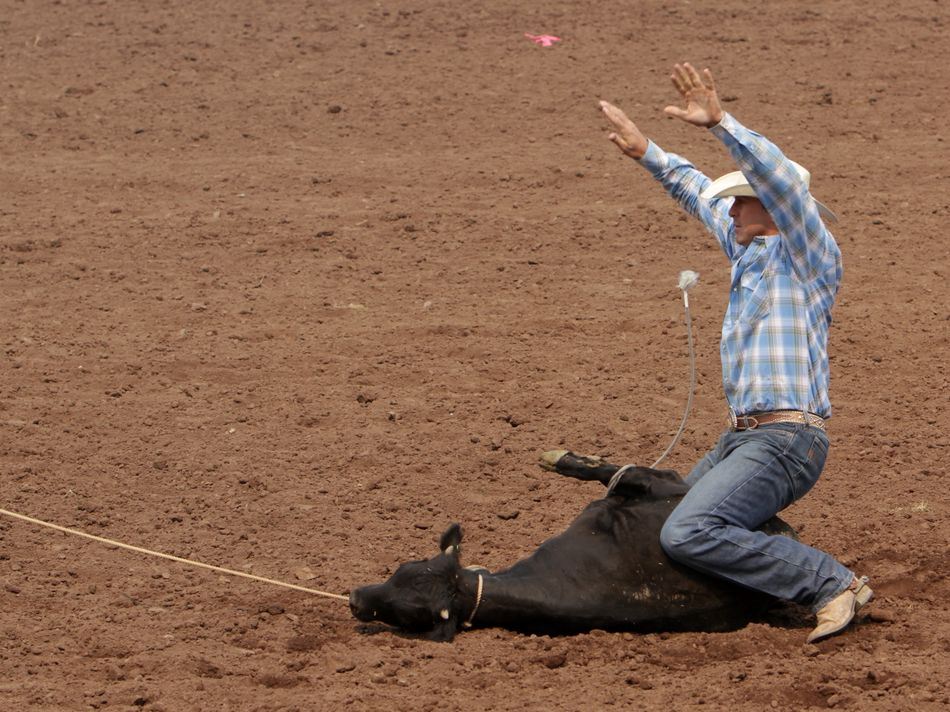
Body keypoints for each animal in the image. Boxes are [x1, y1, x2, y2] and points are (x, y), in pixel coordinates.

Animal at [348, 450, 798, 641]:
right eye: (400, 571)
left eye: (405, 614)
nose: (354, 599)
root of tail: (783, 533)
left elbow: (614, 471)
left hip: (658, 482)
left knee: (617, 471)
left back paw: (559, 458)